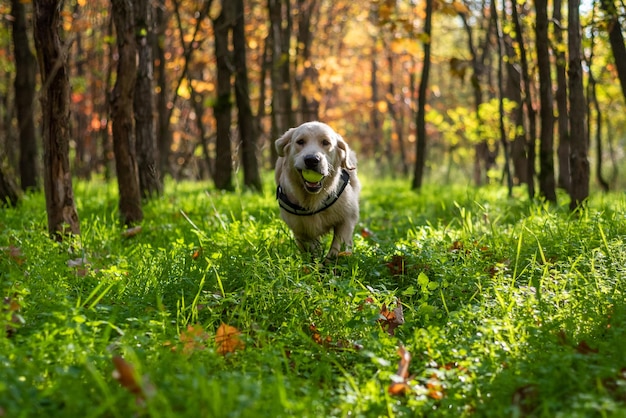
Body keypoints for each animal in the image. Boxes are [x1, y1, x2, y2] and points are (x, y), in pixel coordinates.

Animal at [274, 120, 360, 262]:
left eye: (326, 142)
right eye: (300, 141)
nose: (311, 160)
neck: (314, 199)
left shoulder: (347, 217)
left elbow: (337, 245)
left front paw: (330, 261)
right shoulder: (299, 230)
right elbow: (310, 251)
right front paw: (313, 265)